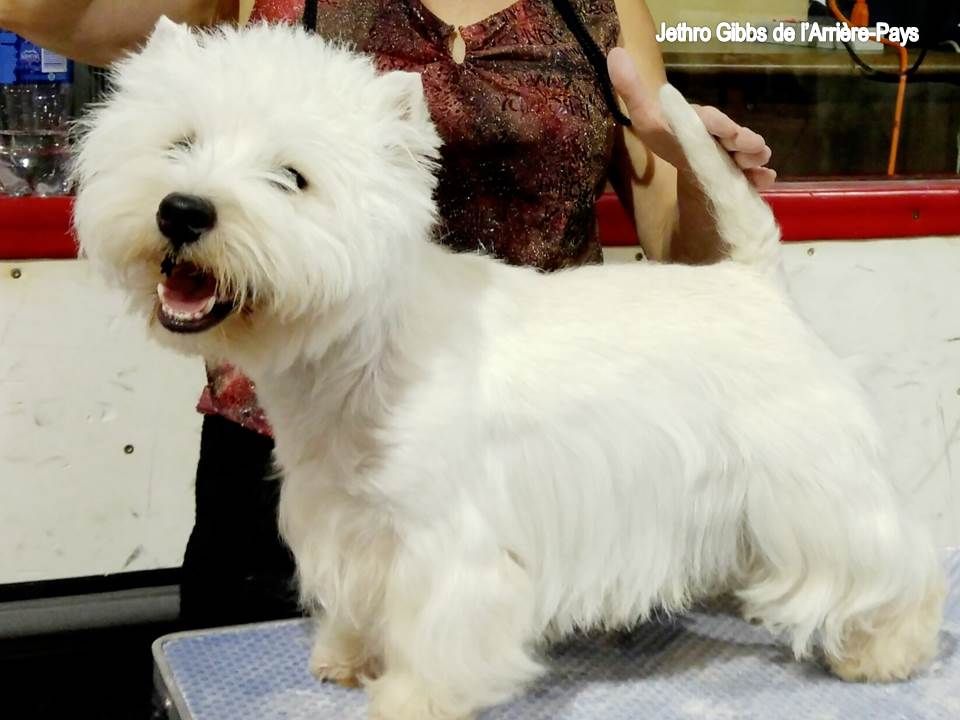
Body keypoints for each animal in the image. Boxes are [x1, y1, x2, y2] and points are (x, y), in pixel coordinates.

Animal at [75, 19, 944, 720]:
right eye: (180, 144)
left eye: (292, 177)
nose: (182, 210)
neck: (357, 351)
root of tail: (755, 280)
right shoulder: (344, 517)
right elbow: (358, 597)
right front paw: (348, 656)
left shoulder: (444, 538)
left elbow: (437, 625)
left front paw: (412, 698)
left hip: (815, 480)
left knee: (897, 560)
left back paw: (886, 648)